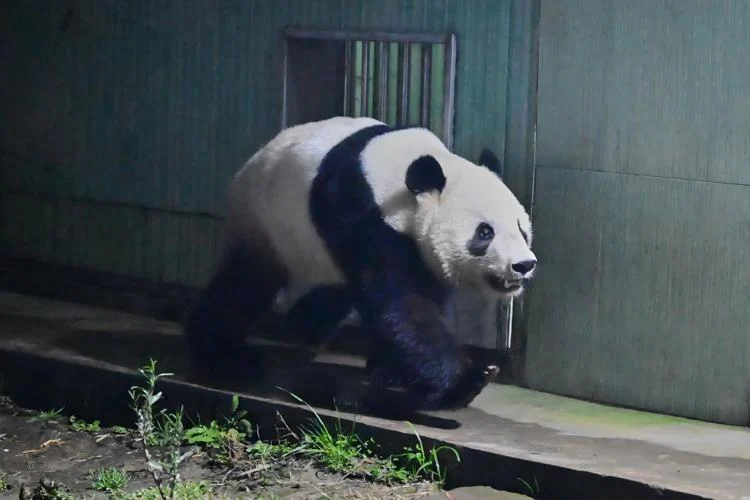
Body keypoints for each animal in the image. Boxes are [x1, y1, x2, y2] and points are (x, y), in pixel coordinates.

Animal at [184, 116, 537, 414]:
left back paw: (300, 331)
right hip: (265, 222)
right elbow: (402, 304)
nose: (524, 265)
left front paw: (393, 372)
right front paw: (467, 380)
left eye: (521, 228)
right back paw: (223, 354)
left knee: (331, 294)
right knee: (243, 285)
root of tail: (250, 163)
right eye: (485, 232)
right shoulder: (359, 213)